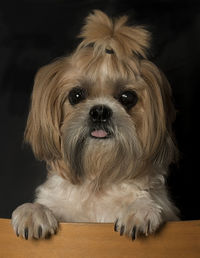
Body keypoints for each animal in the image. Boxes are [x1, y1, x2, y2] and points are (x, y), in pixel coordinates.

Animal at [11, 10, 179, 240]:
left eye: (128, 97)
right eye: (76, 95)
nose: (100, 111)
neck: (98, 181)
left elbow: (148, 202)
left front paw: (138, 210)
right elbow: (45, 206)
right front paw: (33, 211)